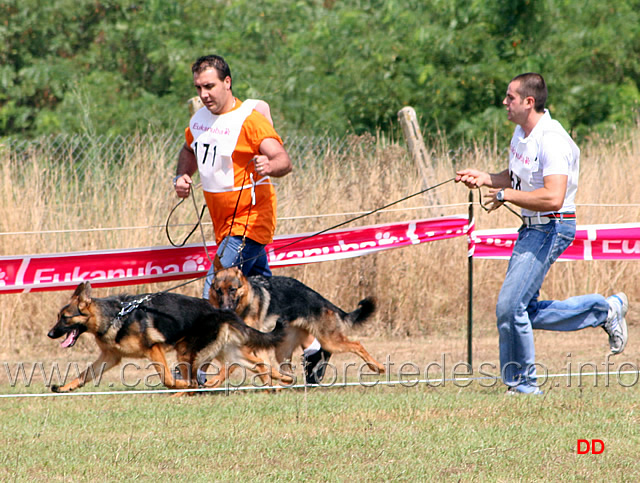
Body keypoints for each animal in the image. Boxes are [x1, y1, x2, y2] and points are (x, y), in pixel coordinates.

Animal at [47, 284, 292, 394]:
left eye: (65, 318)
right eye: (57, 316)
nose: (50, 334)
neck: (115, 316)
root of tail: (219, 311)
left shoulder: (154, 349)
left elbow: (166, 378)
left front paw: (178, 385)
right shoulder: (110, 357)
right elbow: (84, 374)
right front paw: (65, 387)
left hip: (188, 352)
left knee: (197, 377)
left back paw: (186, 390)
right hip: (223, 351)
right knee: (257, 363)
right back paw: (282, 381)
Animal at [209, 258, 384, 378]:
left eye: (232, 289)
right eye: (219, 290)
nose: (225, 309)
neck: (246, 301)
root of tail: (324, 301)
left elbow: (230, 365)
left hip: (331, 341)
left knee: (357, 344)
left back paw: (377, 367)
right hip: (283, 350)